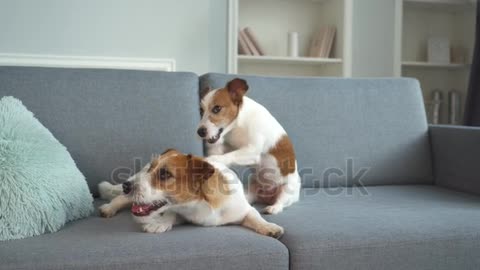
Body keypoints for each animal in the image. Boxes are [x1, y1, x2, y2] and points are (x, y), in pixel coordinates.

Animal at [99, 149, 284, 237]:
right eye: (152, 169)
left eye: (165, 174)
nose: (126, 186)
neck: (201, 204)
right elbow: (171, 214)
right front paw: (161, 222)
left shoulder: (243, 209)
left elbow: (255, 216)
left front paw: (268, 226)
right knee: (120, 199)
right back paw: (109, 207)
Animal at [197, 78, 298, 215]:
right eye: (201, 111)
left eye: (217, 108)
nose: (200, 132)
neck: (238, 123)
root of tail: (268, 197)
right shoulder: (229, 145)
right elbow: (224, 152)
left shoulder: (252, 151)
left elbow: (229, 156)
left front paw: (211, 159)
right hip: (252, 188)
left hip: (287, 190)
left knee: (281, 202)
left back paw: (273, 207)